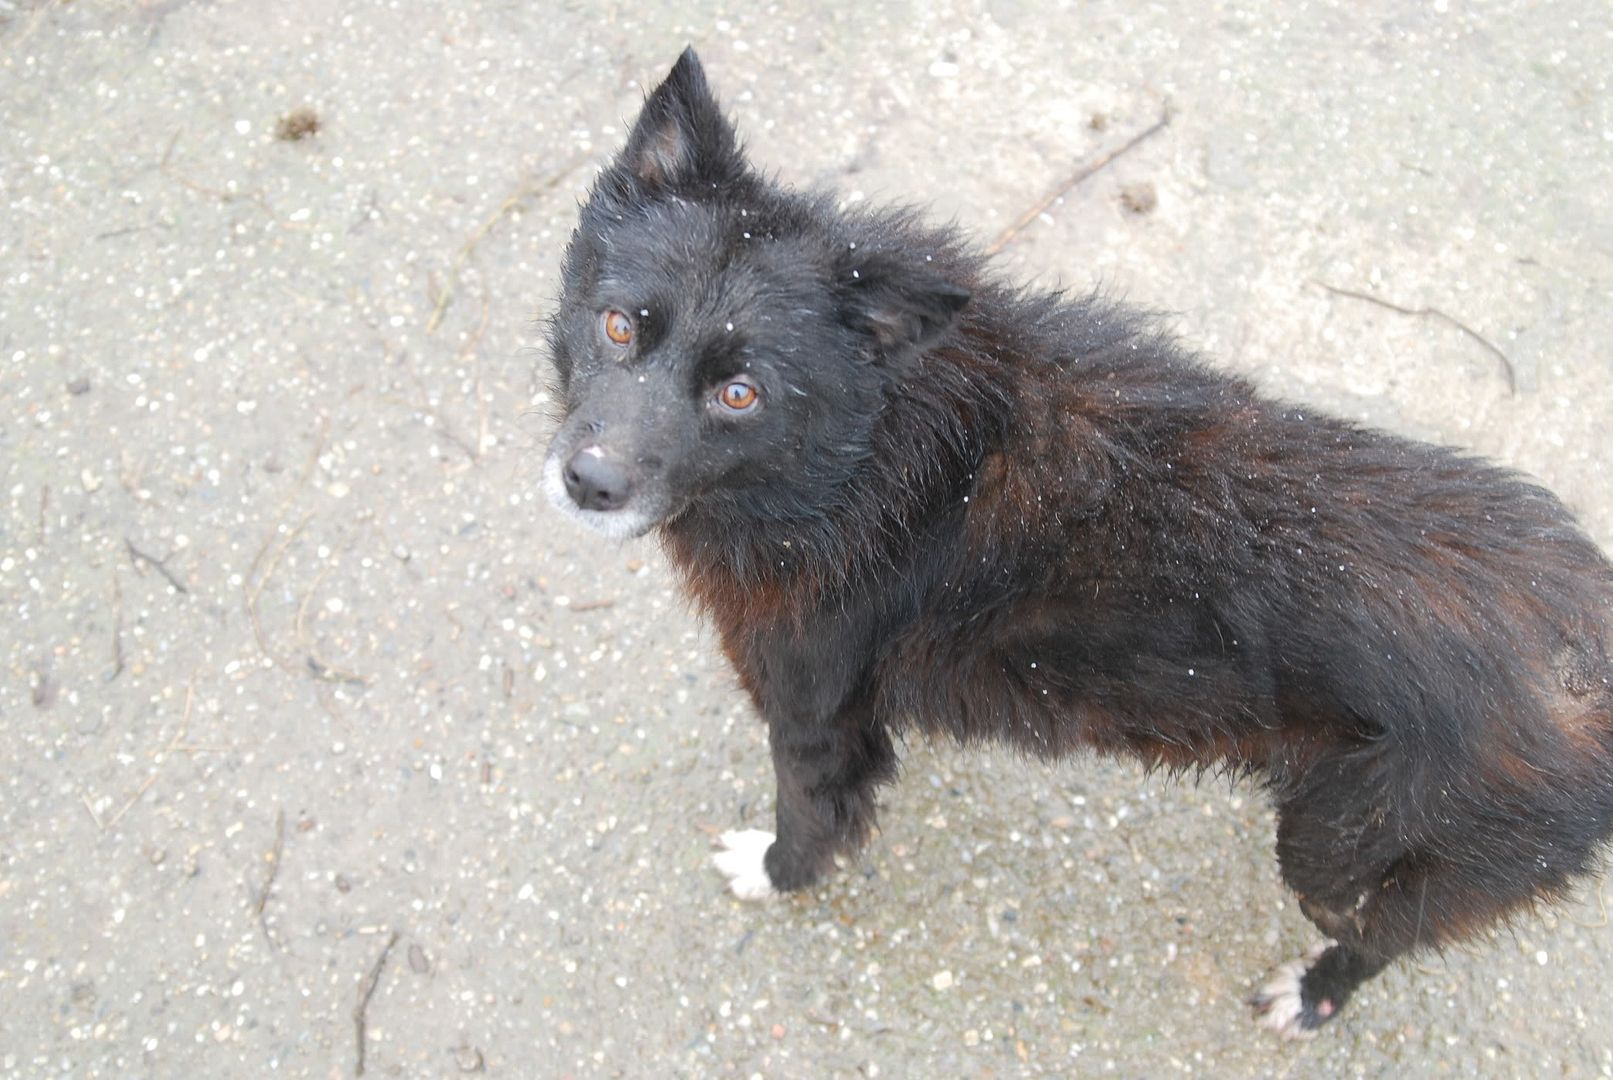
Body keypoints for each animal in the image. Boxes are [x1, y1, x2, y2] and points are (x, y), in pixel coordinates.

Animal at [545, 50, 1613, 1038]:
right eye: (618, 326)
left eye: (740, 392)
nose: (587, 481)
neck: (871, 445)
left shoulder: (814, 713)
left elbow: (811, 818)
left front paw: (776, 873)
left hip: (1341, 852)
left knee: (1377, 935)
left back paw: (1310, 997)